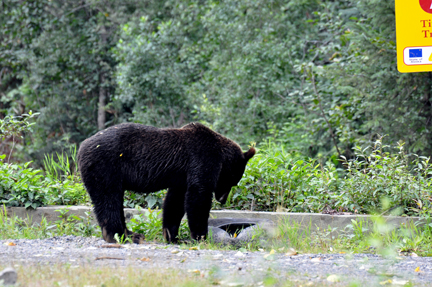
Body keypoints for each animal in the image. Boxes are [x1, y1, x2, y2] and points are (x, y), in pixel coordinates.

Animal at [77, 122, 255, 244]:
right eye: (232, 181)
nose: (222, 199)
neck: (221, 156)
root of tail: (81, 147)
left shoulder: (182, 177)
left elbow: (175, 202)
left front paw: (173, 236)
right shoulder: (201, 160)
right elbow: (199, 197)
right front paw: (201, 236)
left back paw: (131, 234)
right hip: (105, 167)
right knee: (109, 200)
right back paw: (120, 236)